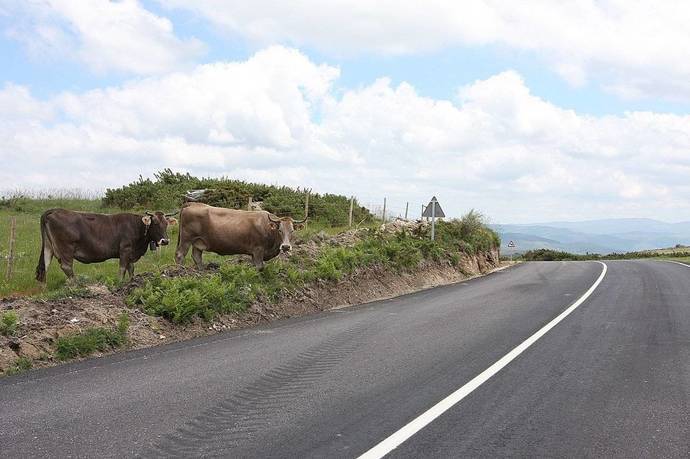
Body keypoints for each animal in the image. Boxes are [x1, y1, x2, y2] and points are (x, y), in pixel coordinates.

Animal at [36, 210, 176, 282]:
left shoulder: (131, 253)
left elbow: (131, 269)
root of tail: (55, 210)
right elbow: (122, 269)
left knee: (45, 266)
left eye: (166, 224)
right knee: (66, 267)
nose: (165, 241)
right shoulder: (125, 250)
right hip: (66, 249)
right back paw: (75, 284)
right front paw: (120, 283)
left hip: (49, 247)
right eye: (155, 223)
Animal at [176, 202, 306, 270]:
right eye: (279, 230)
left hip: (198, 241)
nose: (285, 247)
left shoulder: (254, 253)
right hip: (186, 239)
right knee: (180, 255)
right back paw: (180, 271)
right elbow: (260, 267)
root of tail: (193, 203)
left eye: (292, 230)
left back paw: (201, 270)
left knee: (196, 256)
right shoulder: (258, 250)